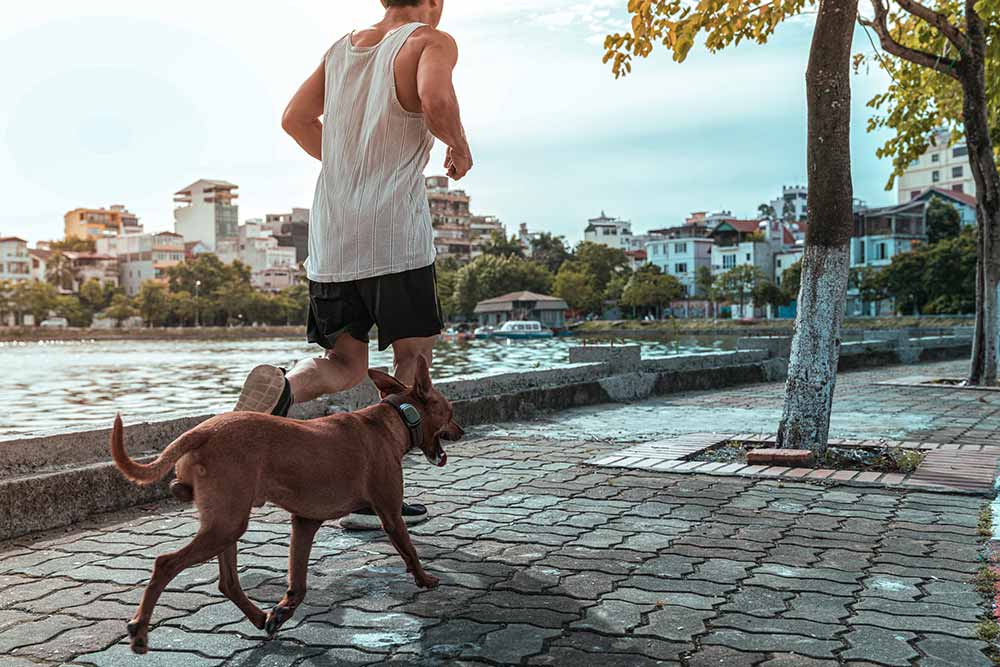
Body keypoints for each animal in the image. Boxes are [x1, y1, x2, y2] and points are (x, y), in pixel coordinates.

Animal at [111, 358, 462, 656]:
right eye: (450, 411)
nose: (461, 432)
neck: (393, 419)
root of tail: (202, 431)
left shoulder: (304, 522)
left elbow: (299, 583)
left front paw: (282, 611)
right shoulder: (389, 512)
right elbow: (409, 550)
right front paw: (425, 579)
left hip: (227, 522)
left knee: (228, 582)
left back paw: (258, 617)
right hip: (226, 525)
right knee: (165, 564)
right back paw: (139, 631)